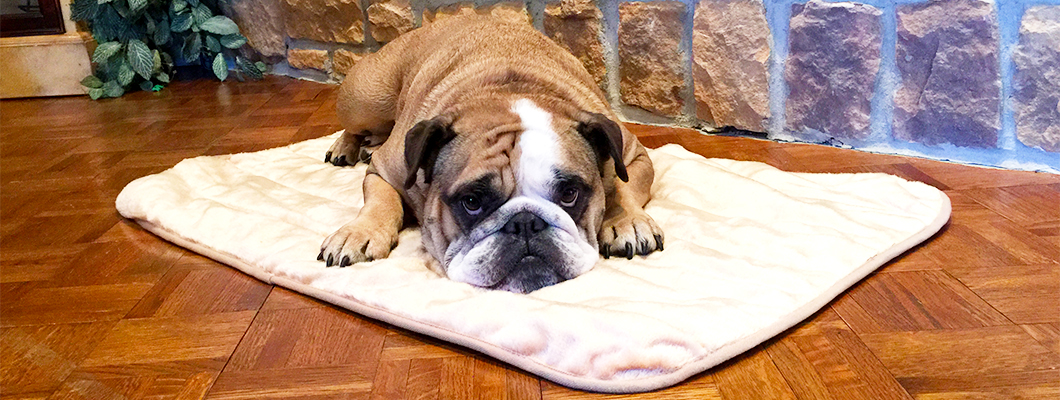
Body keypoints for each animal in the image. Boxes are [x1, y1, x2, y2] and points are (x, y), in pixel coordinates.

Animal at [318, 15, 663, 293]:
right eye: (472, 202)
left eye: (569, 194)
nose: (525, 223)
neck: (507, 95)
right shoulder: (385, 171)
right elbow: (380, 201)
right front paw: (359, 232)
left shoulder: (633, 154)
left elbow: (622, 185)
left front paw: (628, 220)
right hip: (364, 101)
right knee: (355, 126)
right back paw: (345, 147)